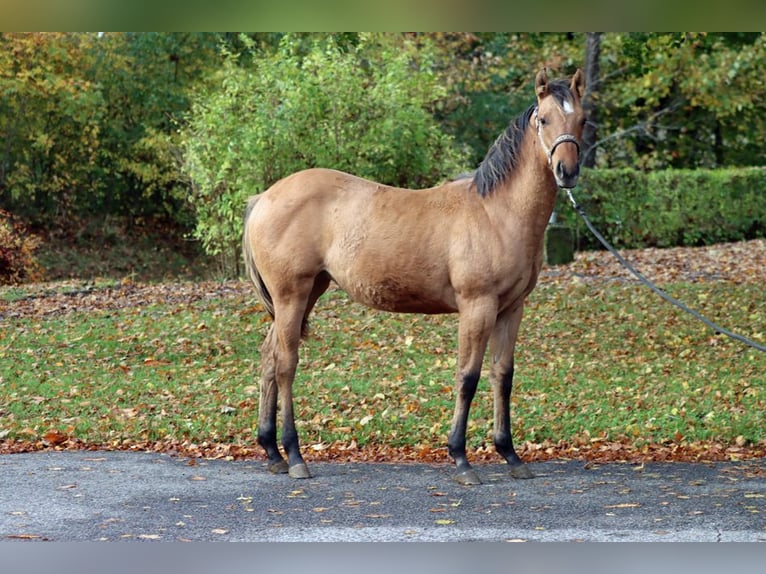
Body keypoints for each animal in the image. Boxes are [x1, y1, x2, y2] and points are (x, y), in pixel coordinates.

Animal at [242, 68, 586, 484]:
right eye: (544, 119)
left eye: (583, 119)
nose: (567, 172)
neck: (495, 212)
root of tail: (263, 198)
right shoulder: (478, 307)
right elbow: (468, 377)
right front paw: (461, 458)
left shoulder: (511, 309)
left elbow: (502, 375)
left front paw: (511, 455)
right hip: (292, 295)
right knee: (285, 364)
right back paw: (294, 456)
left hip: (305, 294)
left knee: (269, 358)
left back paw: (272, 451)